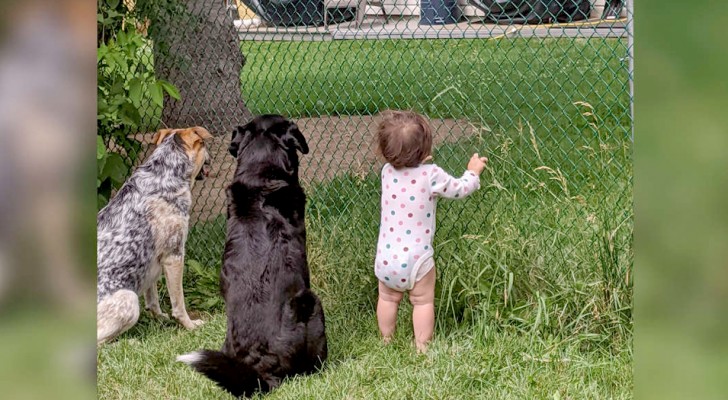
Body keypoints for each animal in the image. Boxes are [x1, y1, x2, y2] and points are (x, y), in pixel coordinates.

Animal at [96, 127, 212, 344]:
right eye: (204, 145)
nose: (211, 157)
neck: (163, 175)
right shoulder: (174, 256)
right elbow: (179, 303)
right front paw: (190, 326)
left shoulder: (151, 261)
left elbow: (153, 299)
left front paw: (160, 318)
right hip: (129, 299)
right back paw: (129, 343)